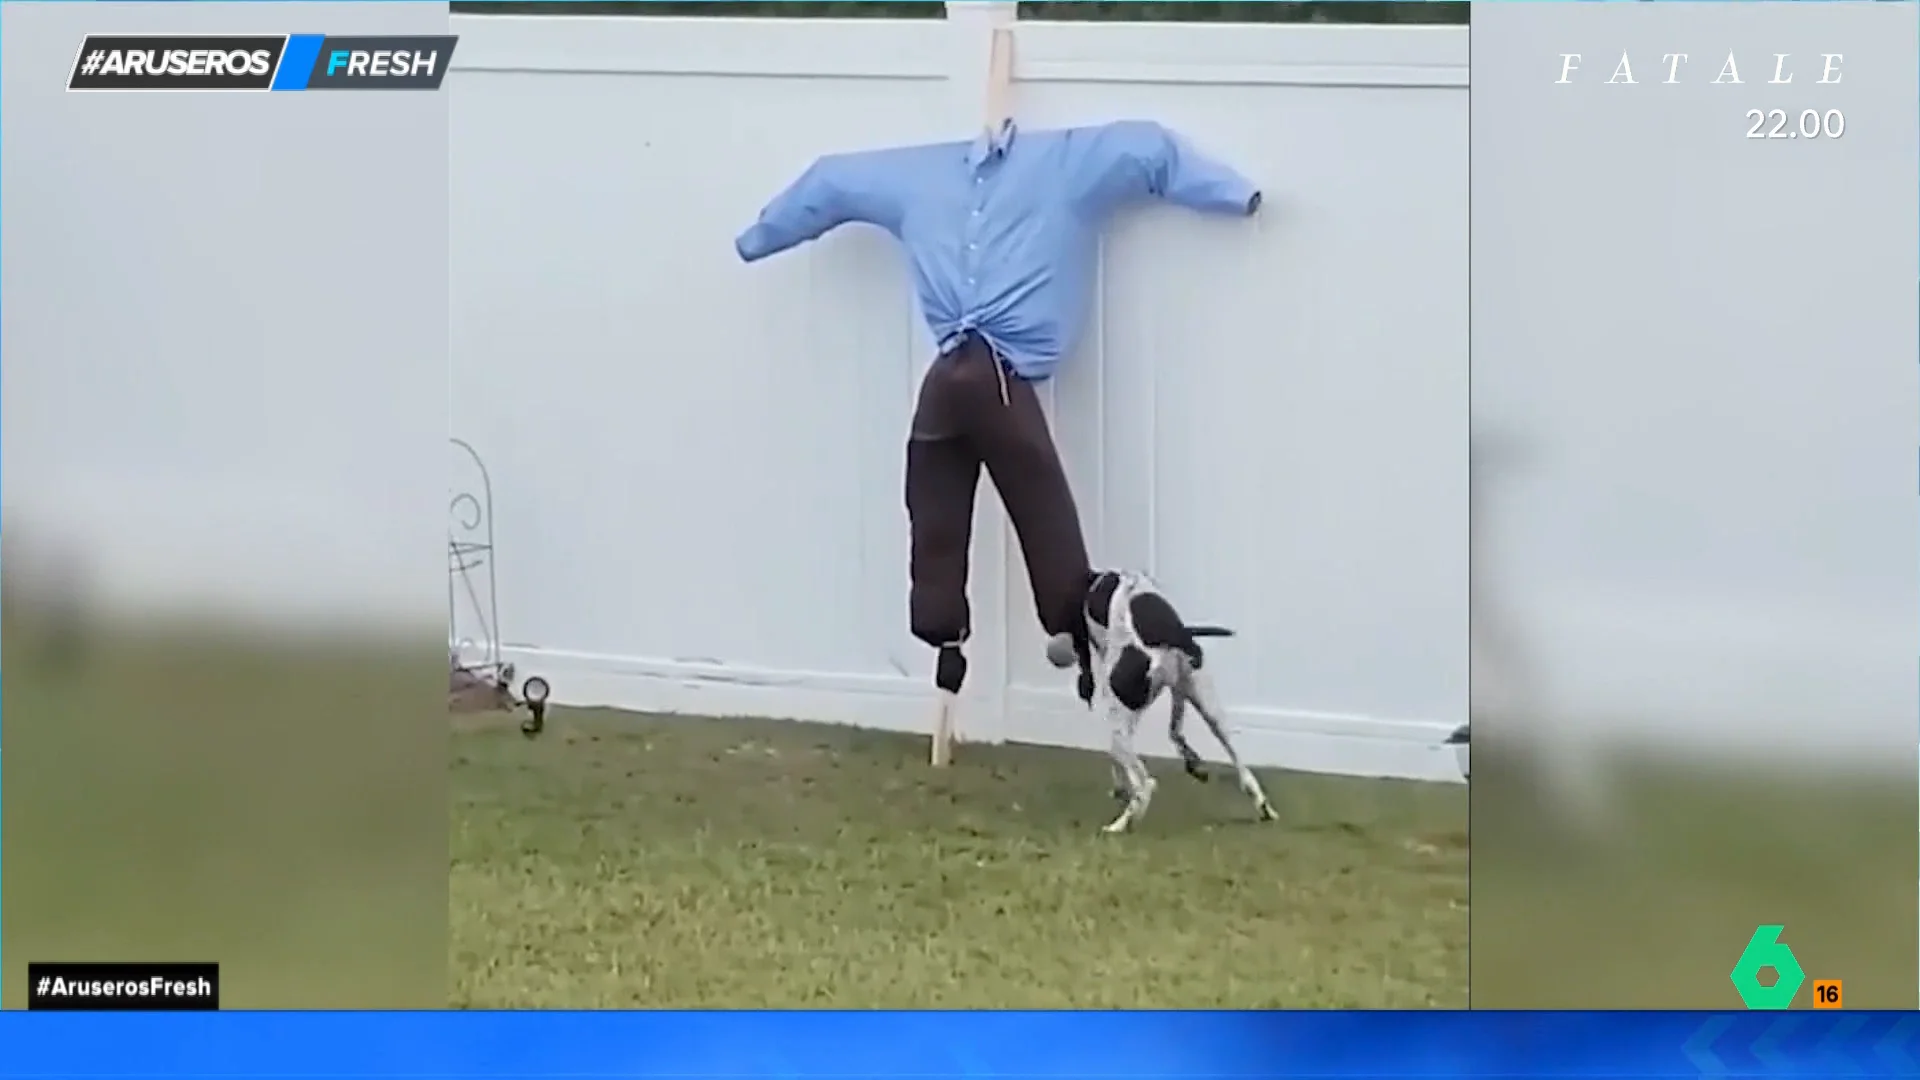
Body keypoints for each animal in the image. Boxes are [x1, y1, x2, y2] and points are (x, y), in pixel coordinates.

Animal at [1052, 568, 1274, 826]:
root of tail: (1168, 637)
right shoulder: (1179, 690)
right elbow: (1174, 731)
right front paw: (1193, 761)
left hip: (1119, 727)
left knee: (1144, 784)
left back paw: (1121, 823)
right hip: (1209, 709)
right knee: (1242, 768)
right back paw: (1261, 804)